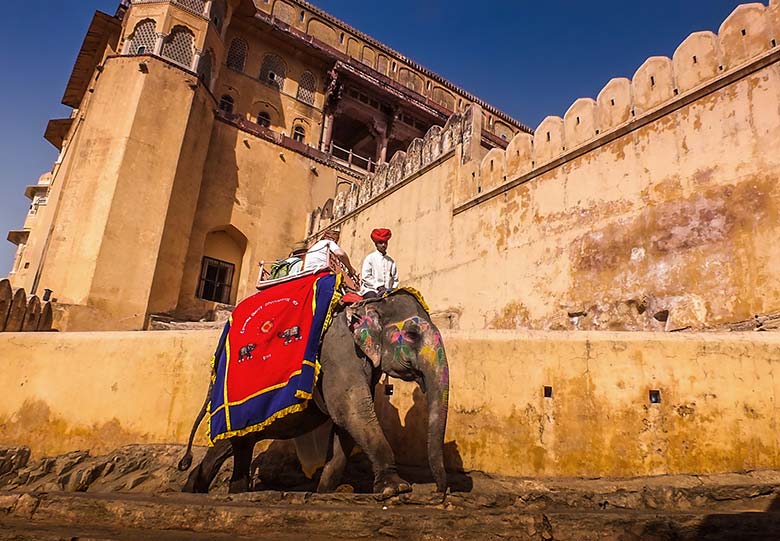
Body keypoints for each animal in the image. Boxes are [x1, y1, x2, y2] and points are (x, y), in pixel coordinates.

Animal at [178, 288, 450, 496]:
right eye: (412, 334)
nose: (441, 492)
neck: (371, 302)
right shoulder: (339, 350)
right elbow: (352, 410)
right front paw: (396, 489)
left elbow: (346, 424)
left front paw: (326, 491)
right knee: (229, 442)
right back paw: (196, 489)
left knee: (239, 443)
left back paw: (224, 490)